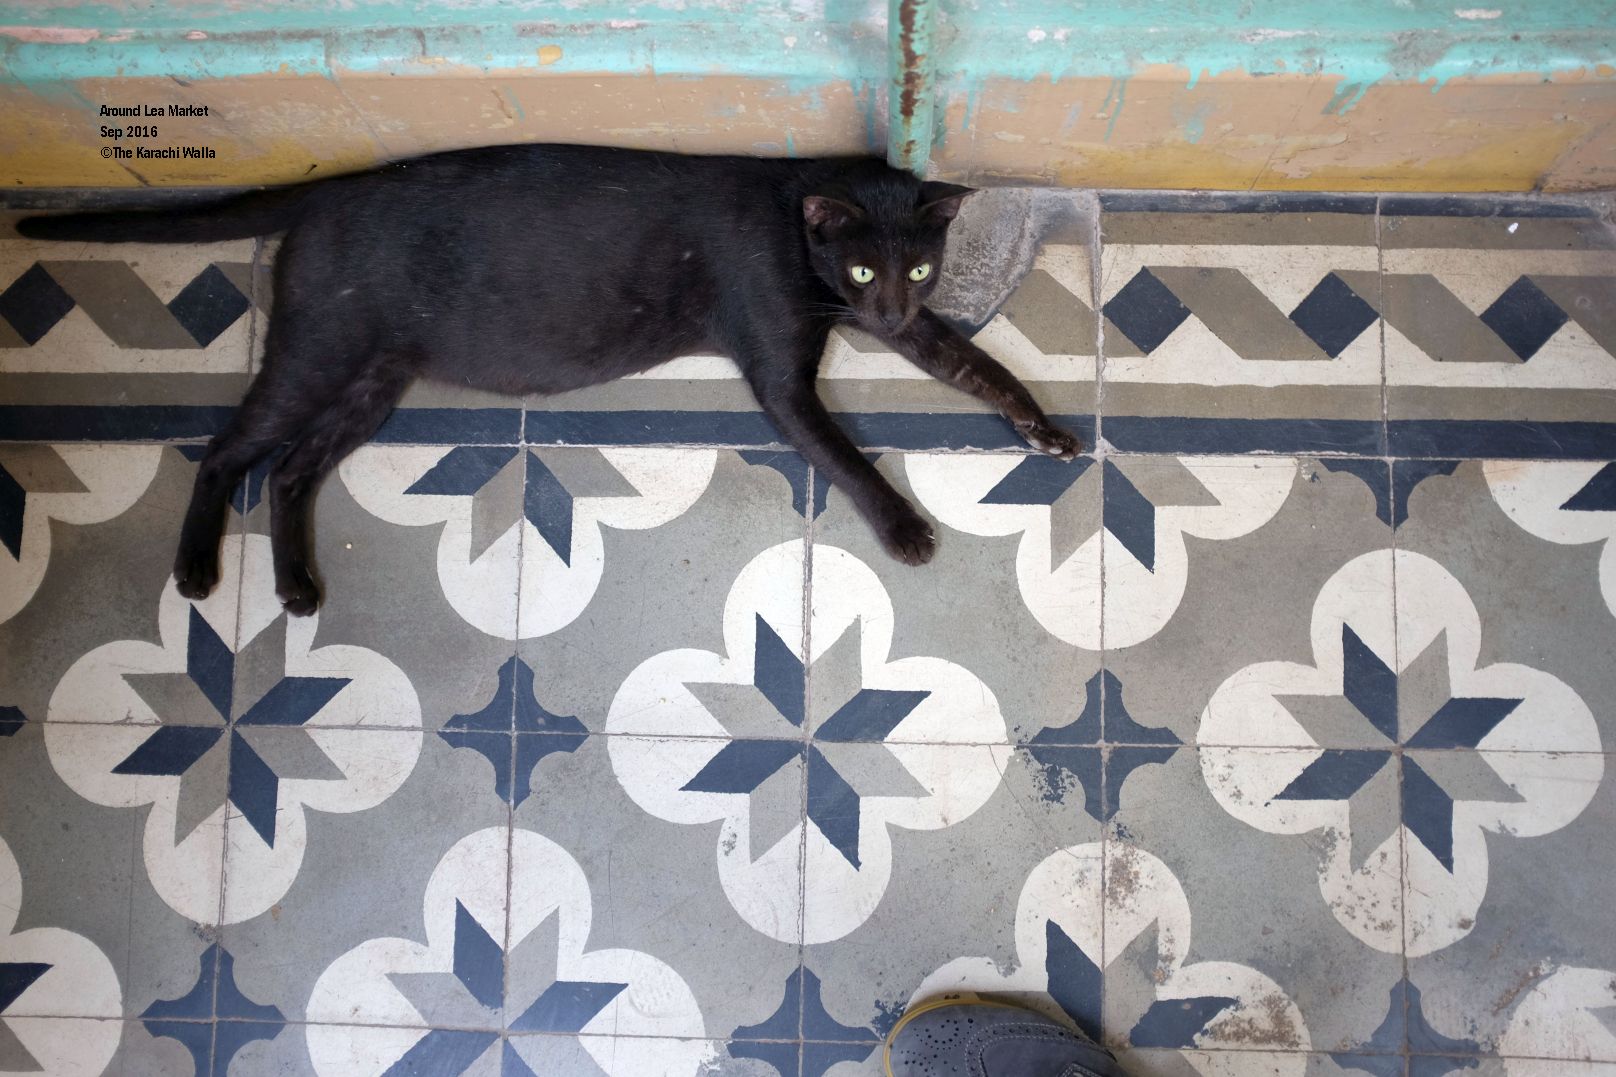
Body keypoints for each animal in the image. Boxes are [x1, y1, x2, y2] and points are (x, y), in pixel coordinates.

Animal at [19, 144, 1083, 614]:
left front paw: (1045, 428)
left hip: (374, 379)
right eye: (863, 270)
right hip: (316, 353)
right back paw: (200, 567)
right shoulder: (783, 379)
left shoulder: (895, 334)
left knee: (287, 469)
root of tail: (328, 188)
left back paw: (297, 583)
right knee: (226, 448)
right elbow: (848, 456)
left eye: (920, 271)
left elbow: (978, 363)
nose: (888, 309)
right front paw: (906, 528)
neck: (797, 218)